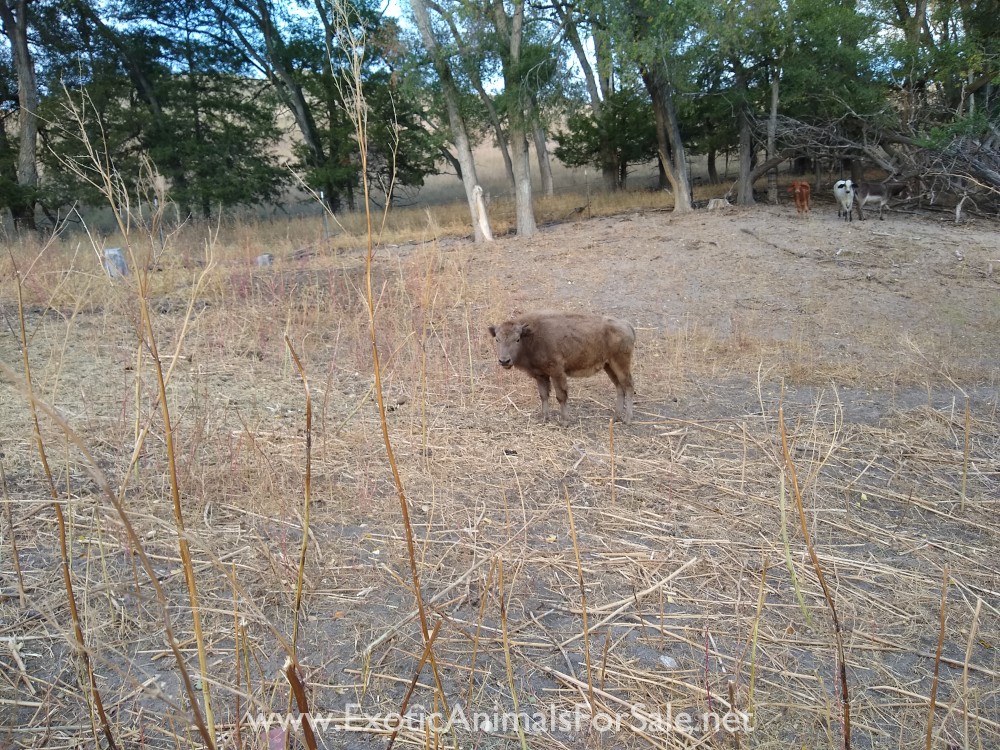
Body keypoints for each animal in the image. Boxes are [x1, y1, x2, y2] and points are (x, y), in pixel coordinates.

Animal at [488, 311, 636, 425]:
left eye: (517, 339)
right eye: (497, 339)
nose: (504, 361)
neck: (532, 336)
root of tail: (627, 325)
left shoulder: (557, 372)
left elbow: (561, 396)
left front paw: (564, 421)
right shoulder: (541, 375)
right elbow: (544, 395)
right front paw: (544, 418)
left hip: (620, 363)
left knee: (628, 387)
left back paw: (627, 419)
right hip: (609, 366)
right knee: (619, 387)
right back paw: (616, 417)